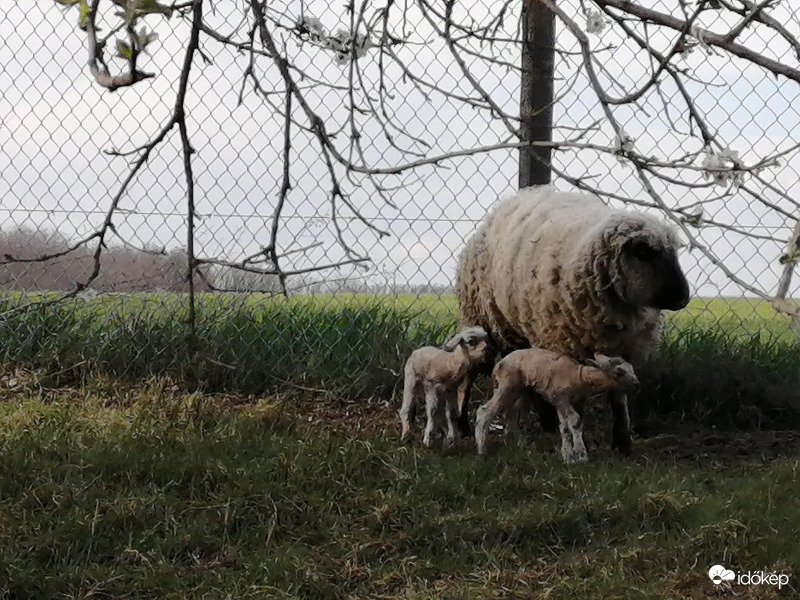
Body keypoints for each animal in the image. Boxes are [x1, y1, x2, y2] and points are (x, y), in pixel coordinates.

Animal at [476, 350, 636, 462]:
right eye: (619, 372)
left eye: (632, 368)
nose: (637, 386)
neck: (579, 377)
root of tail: (498, 365)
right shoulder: (560, 399)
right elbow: (575, 422)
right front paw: (581, 456)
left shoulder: (565, 402)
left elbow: (565, 427)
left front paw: (568, 455)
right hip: (506, 385)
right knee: (485, 411)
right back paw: (482, 449)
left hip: (521, 390)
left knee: (510, 414)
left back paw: (522, 443)